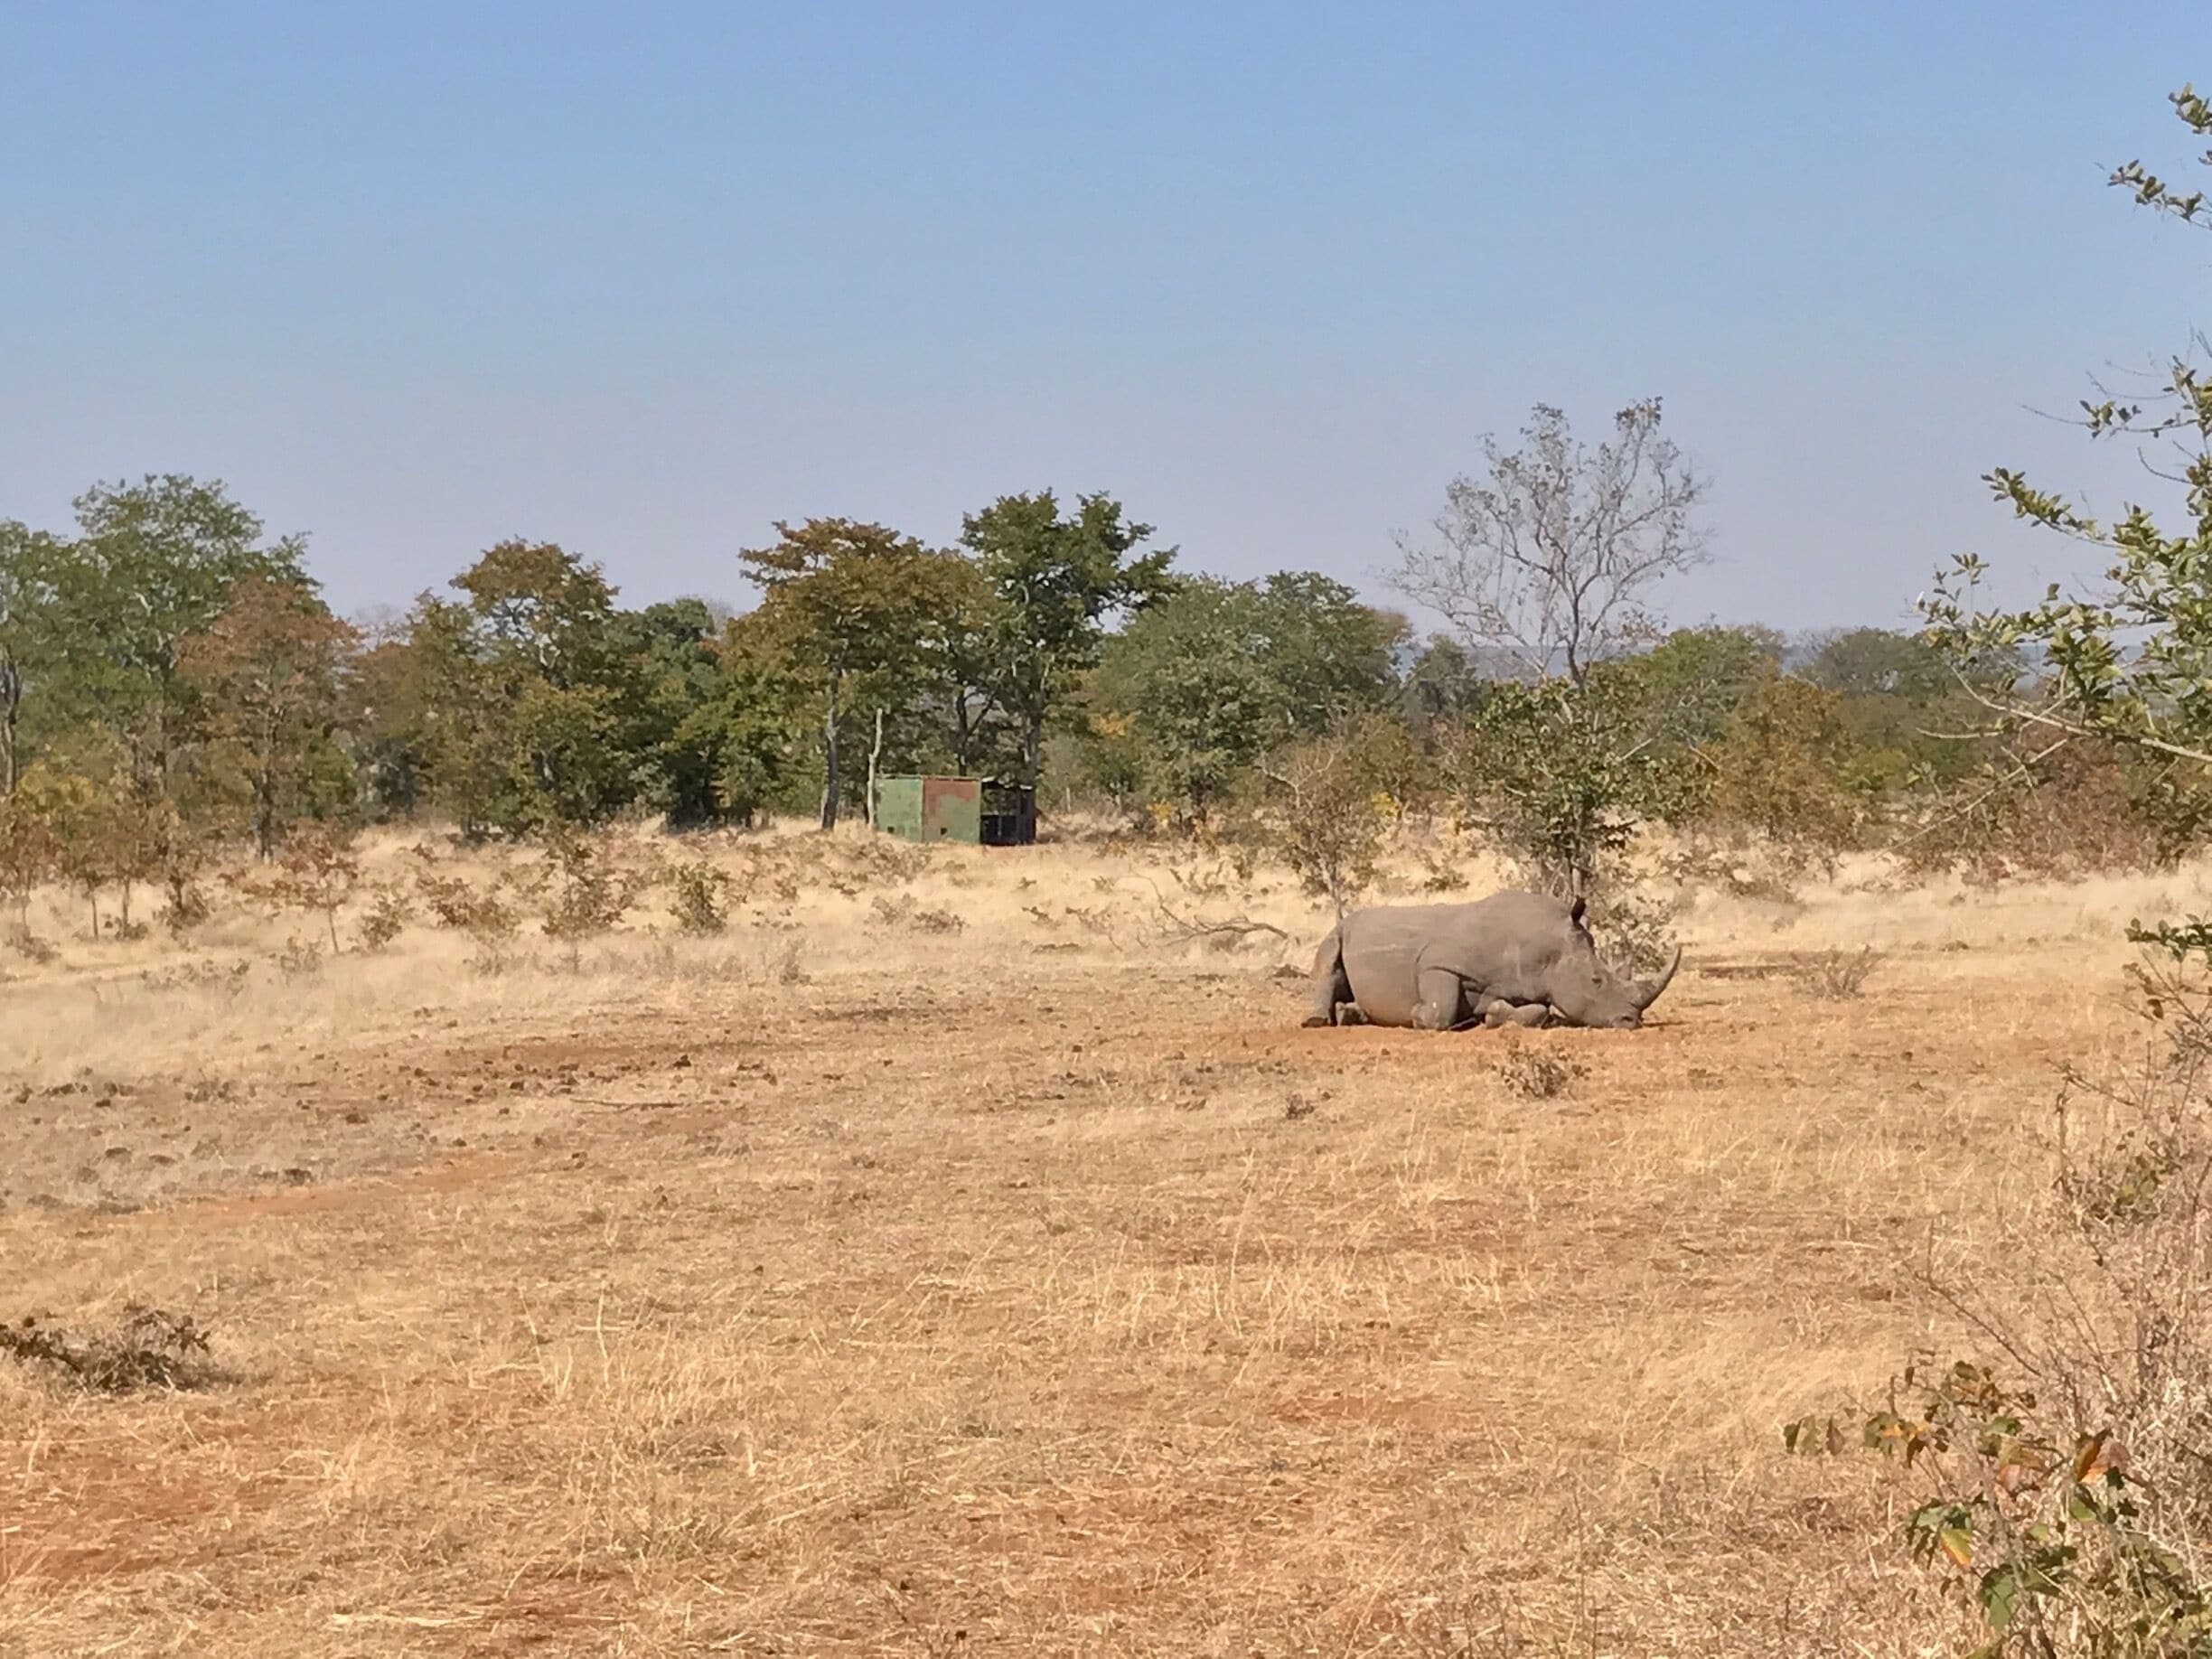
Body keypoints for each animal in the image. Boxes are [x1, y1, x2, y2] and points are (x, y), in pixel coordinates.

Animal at [1302, 890, 1680, 1031]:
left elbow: (1537, 1012)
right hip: (1342, 928)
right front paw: (1417, 1015)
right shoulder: (1439, 963)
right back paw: (1319, 1022)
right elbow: (1440, 1011)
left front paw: (1489, 1016)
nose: (1631, 1021)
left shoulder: (1523, 985)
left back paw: (1354, 1015)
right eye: (1596, 981)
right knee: (1328, 960)